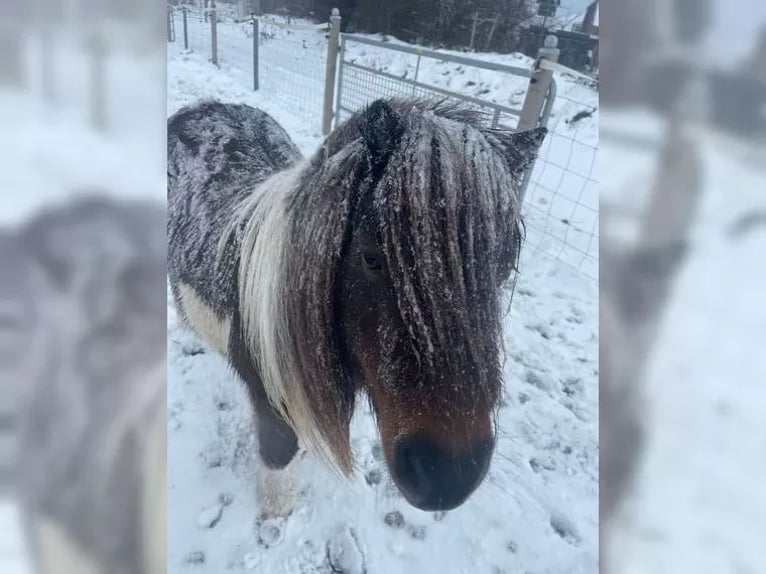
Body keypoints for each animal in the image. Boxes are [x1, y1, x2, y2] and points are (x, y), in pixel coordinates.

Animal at [168, 97, 548, 516]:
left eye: (505, 265)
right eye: (371, 258)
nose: (448, 480)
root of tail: (203, 107)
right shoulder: (271, 402)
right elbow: (278, 457)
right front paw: (278, 509)